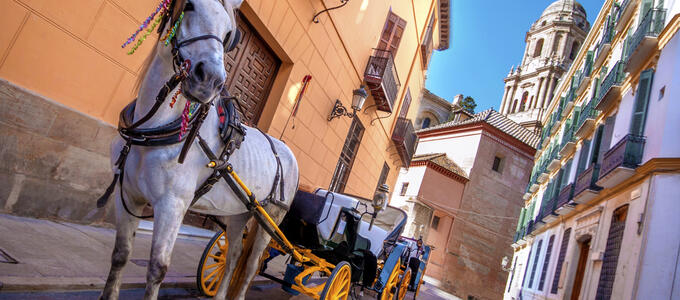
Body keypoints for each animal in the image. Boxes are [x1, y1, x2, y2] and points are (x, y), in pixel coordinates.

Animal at [99, 0, 298, 300]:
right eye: (189, 6)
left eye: (229, 34)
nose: (211, 80)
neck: (156, 131)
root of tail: (287, 150)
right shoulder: (128, 196)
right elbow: (120, 255)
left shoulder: (172, 205)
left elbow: (156, 269)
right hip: (240, 212)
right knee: (234, 256)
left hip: (270, 219)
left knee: (250, 266)